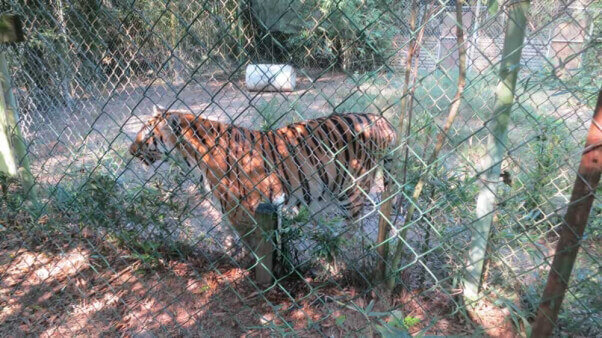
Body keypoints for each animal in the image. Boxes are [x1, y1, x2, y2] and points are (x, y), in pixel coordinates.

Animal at [129, 105, 396, 251]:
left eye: (147, 135)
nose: (130, 151)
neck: (190, 156)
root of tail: (381, 119)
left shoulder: (241, 208)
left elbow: (252, 244)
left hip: (351, 190)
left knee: (353, 228)